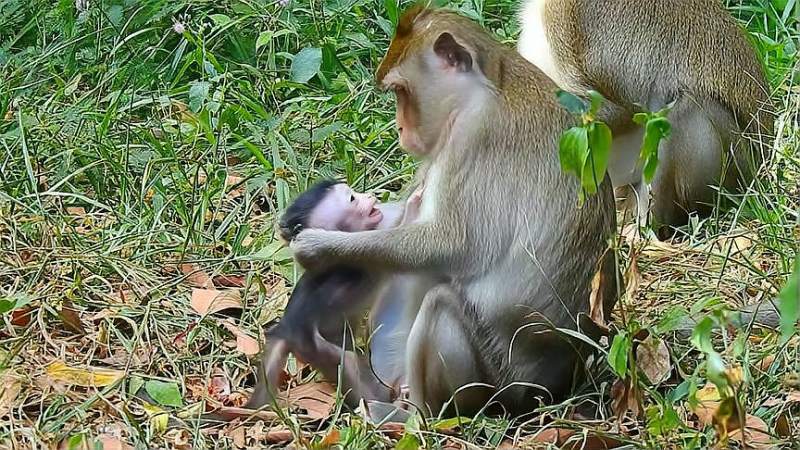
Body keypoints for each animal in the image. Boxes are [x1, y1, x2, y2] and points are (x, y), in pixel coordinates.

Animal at [245, 178, 422, 408]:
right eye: (352, 198)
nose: (369, 196)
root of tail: (285, 328)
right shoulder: (359, 256)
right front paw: (413, 203)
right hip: (312, 346)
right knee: (347, 363)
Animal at [292, 5, 620, 416]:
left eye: (401, 92)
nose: (400, 128)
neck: (488, 86)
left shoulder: (474, 140)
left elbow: (457, 246)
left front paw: (319, 247)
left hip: (494, 386)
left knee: (441, 303)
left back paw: (415, 415)